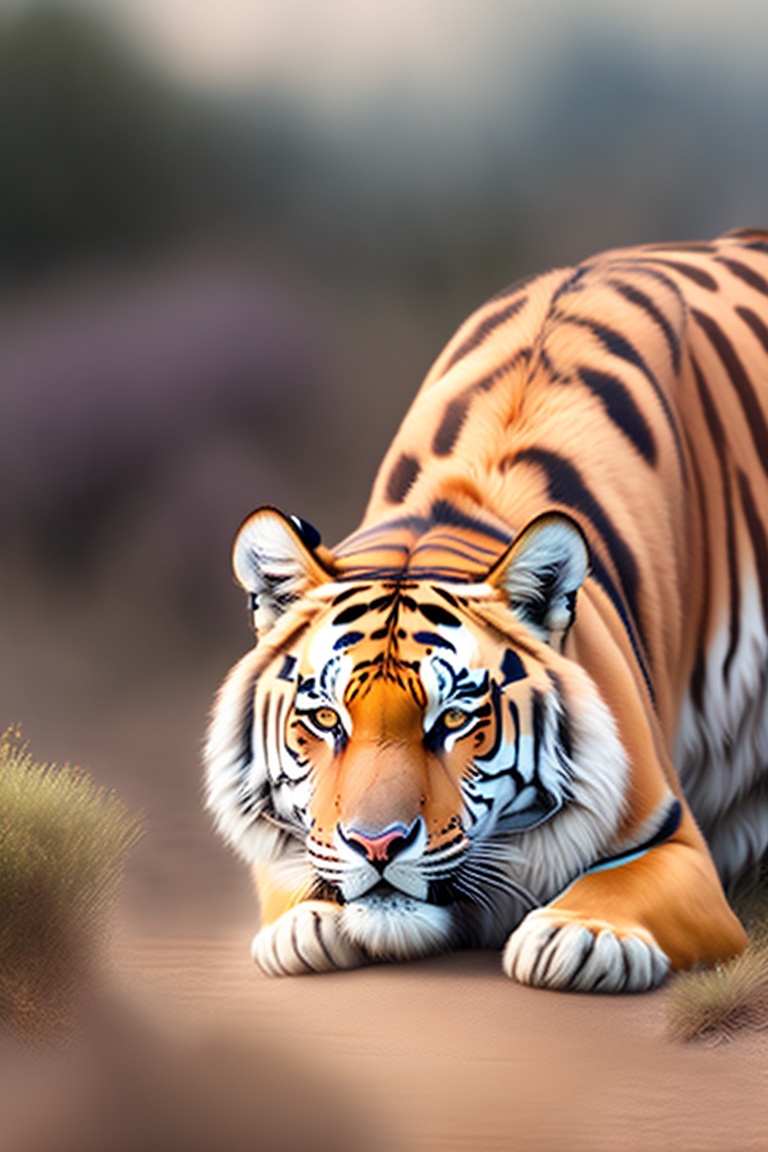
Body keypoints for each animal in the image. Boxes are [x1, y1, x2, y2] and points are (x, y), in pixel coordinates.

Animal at [204, 228, 768, 992]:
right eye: (324, 720)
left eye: (454, 721)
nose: (377, 845)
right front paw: (305, 925)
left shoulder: (678, 841)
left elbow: (620, 882)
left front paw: (579, 934)